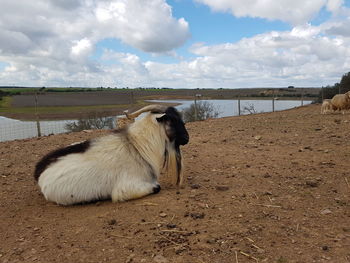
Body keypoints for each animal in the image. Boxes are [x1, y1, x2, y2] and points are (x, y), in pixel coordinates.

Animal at [34, 105, 190, 206]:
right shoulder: (127, 187)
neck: (136, 146)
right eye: (173, 120)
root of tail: (39, 171)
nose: (187, 138)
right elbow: (157, 187)